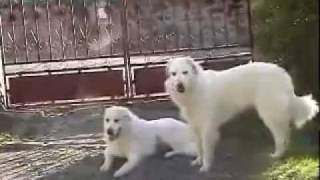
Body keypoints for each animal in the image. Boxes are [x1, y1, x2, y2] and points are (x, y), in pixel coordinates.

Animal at [164, 57, 318, 172]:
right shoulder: (195, 127)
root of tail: (282, 73)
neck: (196, 88)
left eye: (185, 72)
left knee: (280, 137)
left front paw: (206, 167)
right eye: (174, 74)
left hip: (269, 114)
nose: (179, 85)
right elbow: (199, 148)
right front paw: (198, 162)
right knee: (286, 132)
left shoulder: (208, 129)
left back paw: (277, 155)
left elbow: (206, 150)